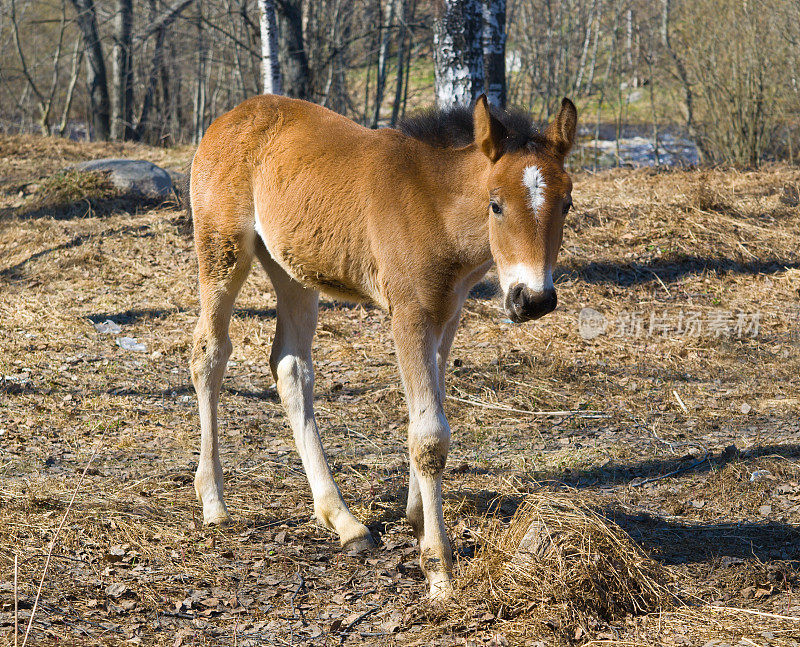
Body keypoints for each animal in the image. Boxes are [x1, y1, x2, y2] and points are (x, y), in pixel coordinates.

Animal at [189, 93, 576, 600]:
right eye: (495, 204)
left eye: (567, 204)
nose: (532, 300)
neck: (437, 206)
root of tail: (231, 116)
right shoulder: (408, 314)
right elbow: (429, 434)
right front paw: (439, 571)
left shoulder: (448, 314)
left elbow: (427, 411)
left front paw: (416, 519)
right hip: (222, 249)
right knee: (209, 354)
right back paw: (214, 502)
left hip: (293, 270)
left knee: (290, 367)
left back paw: (344, 522)